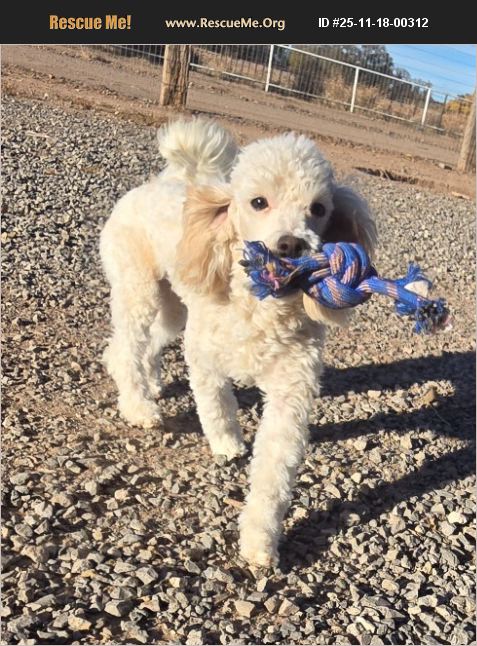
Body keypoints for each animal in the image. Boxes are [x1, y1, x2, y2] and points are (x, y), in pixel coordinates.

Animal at [100, 119, 377, 566]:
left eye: (318, 208)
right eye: (258, 202)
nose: (291, 244)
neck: (262, 309)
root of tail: (159, 182)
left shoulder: (291, 393)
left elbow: (274, 474)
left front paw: (260, 540)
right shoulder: (204, 355)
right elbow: (217, 405)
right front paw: (227, 443)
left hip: (173, 306)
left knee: (142, 343)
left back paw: (146, 380)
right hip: (138, 287)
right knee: (128, 346)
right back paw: (138, 405)